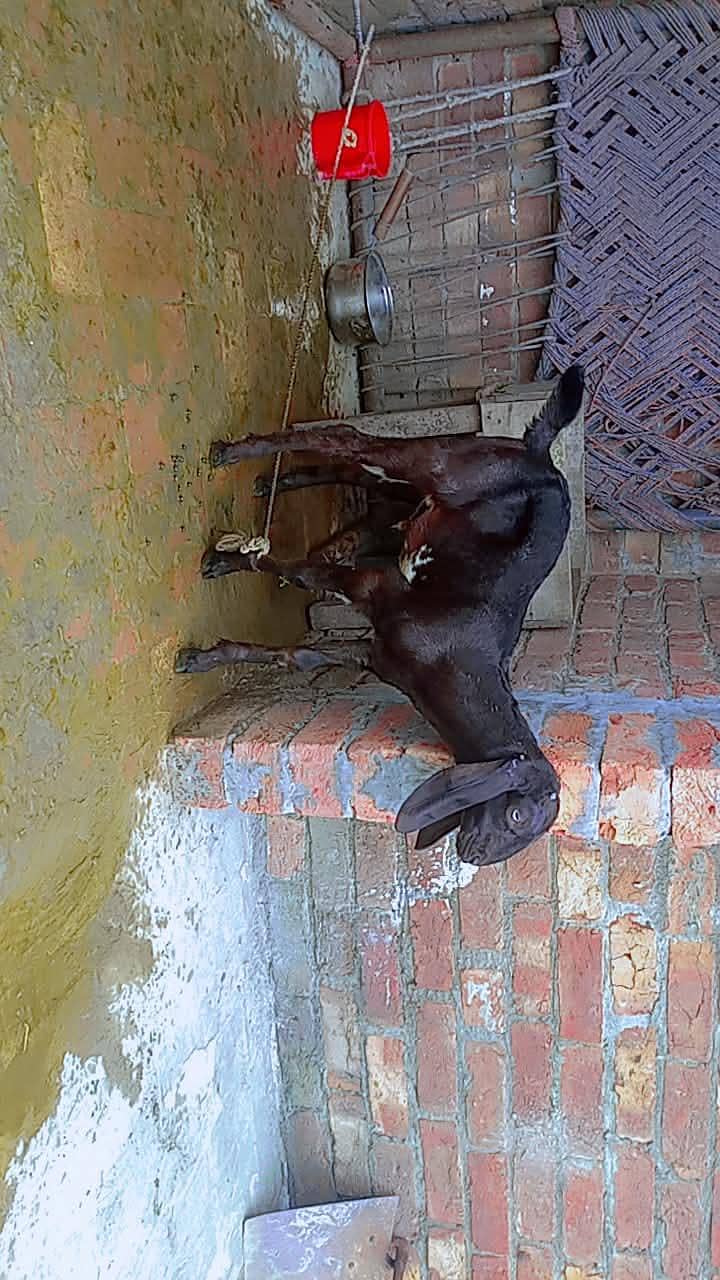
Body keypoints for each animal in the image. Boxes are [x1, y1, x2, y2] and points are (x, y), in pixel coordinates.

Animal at [176, 365, 584, 867]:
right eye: (517, 816)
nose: (471, 855)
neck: (456, 664)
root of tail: (539, 456)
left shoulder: (371, 653)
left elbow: (297, 656)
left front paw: (207, 658)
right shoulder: (373, 587)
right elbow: (298, 572)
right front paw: (227, 563)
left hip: (414, 494)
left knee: (355, 468)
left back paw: (276, 482)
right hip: (439, 464)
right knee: (348, 439)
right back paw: (231, 453)